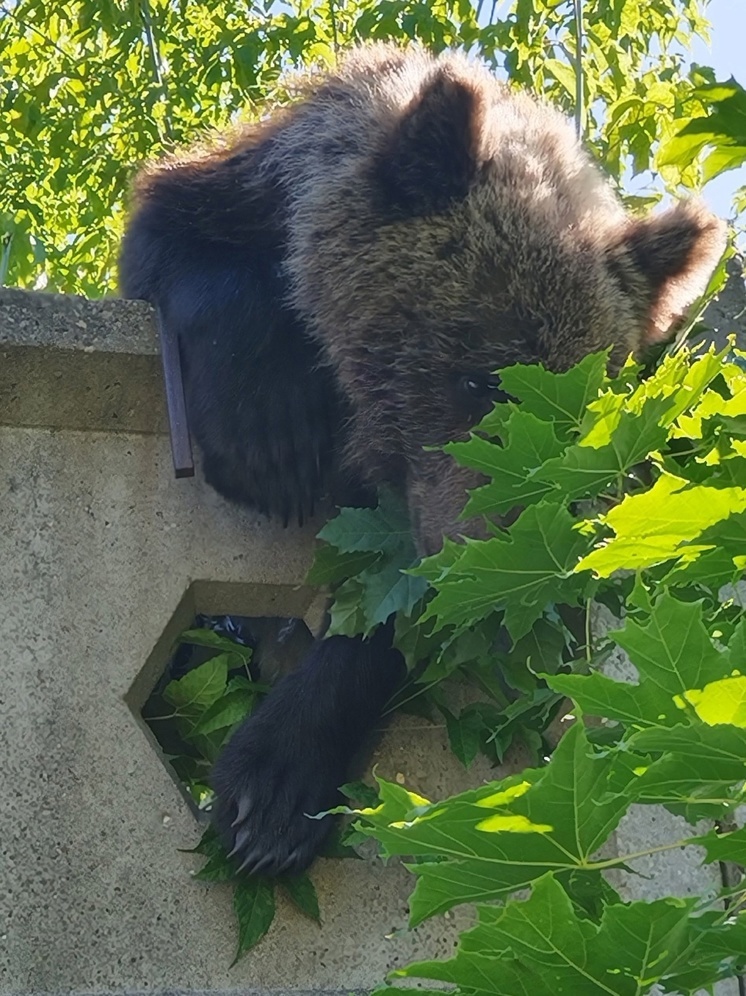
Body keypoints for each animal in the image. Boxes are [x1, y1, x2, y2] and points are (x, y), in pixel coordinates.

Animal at [119, 42, 724, 876]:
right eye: (480, 378)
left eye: (570, 428)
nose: (506, 568)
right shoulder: (242, 190)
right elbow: (182, 248)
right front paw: (270, 439)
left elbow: (395, 617)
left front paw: (275, 791)